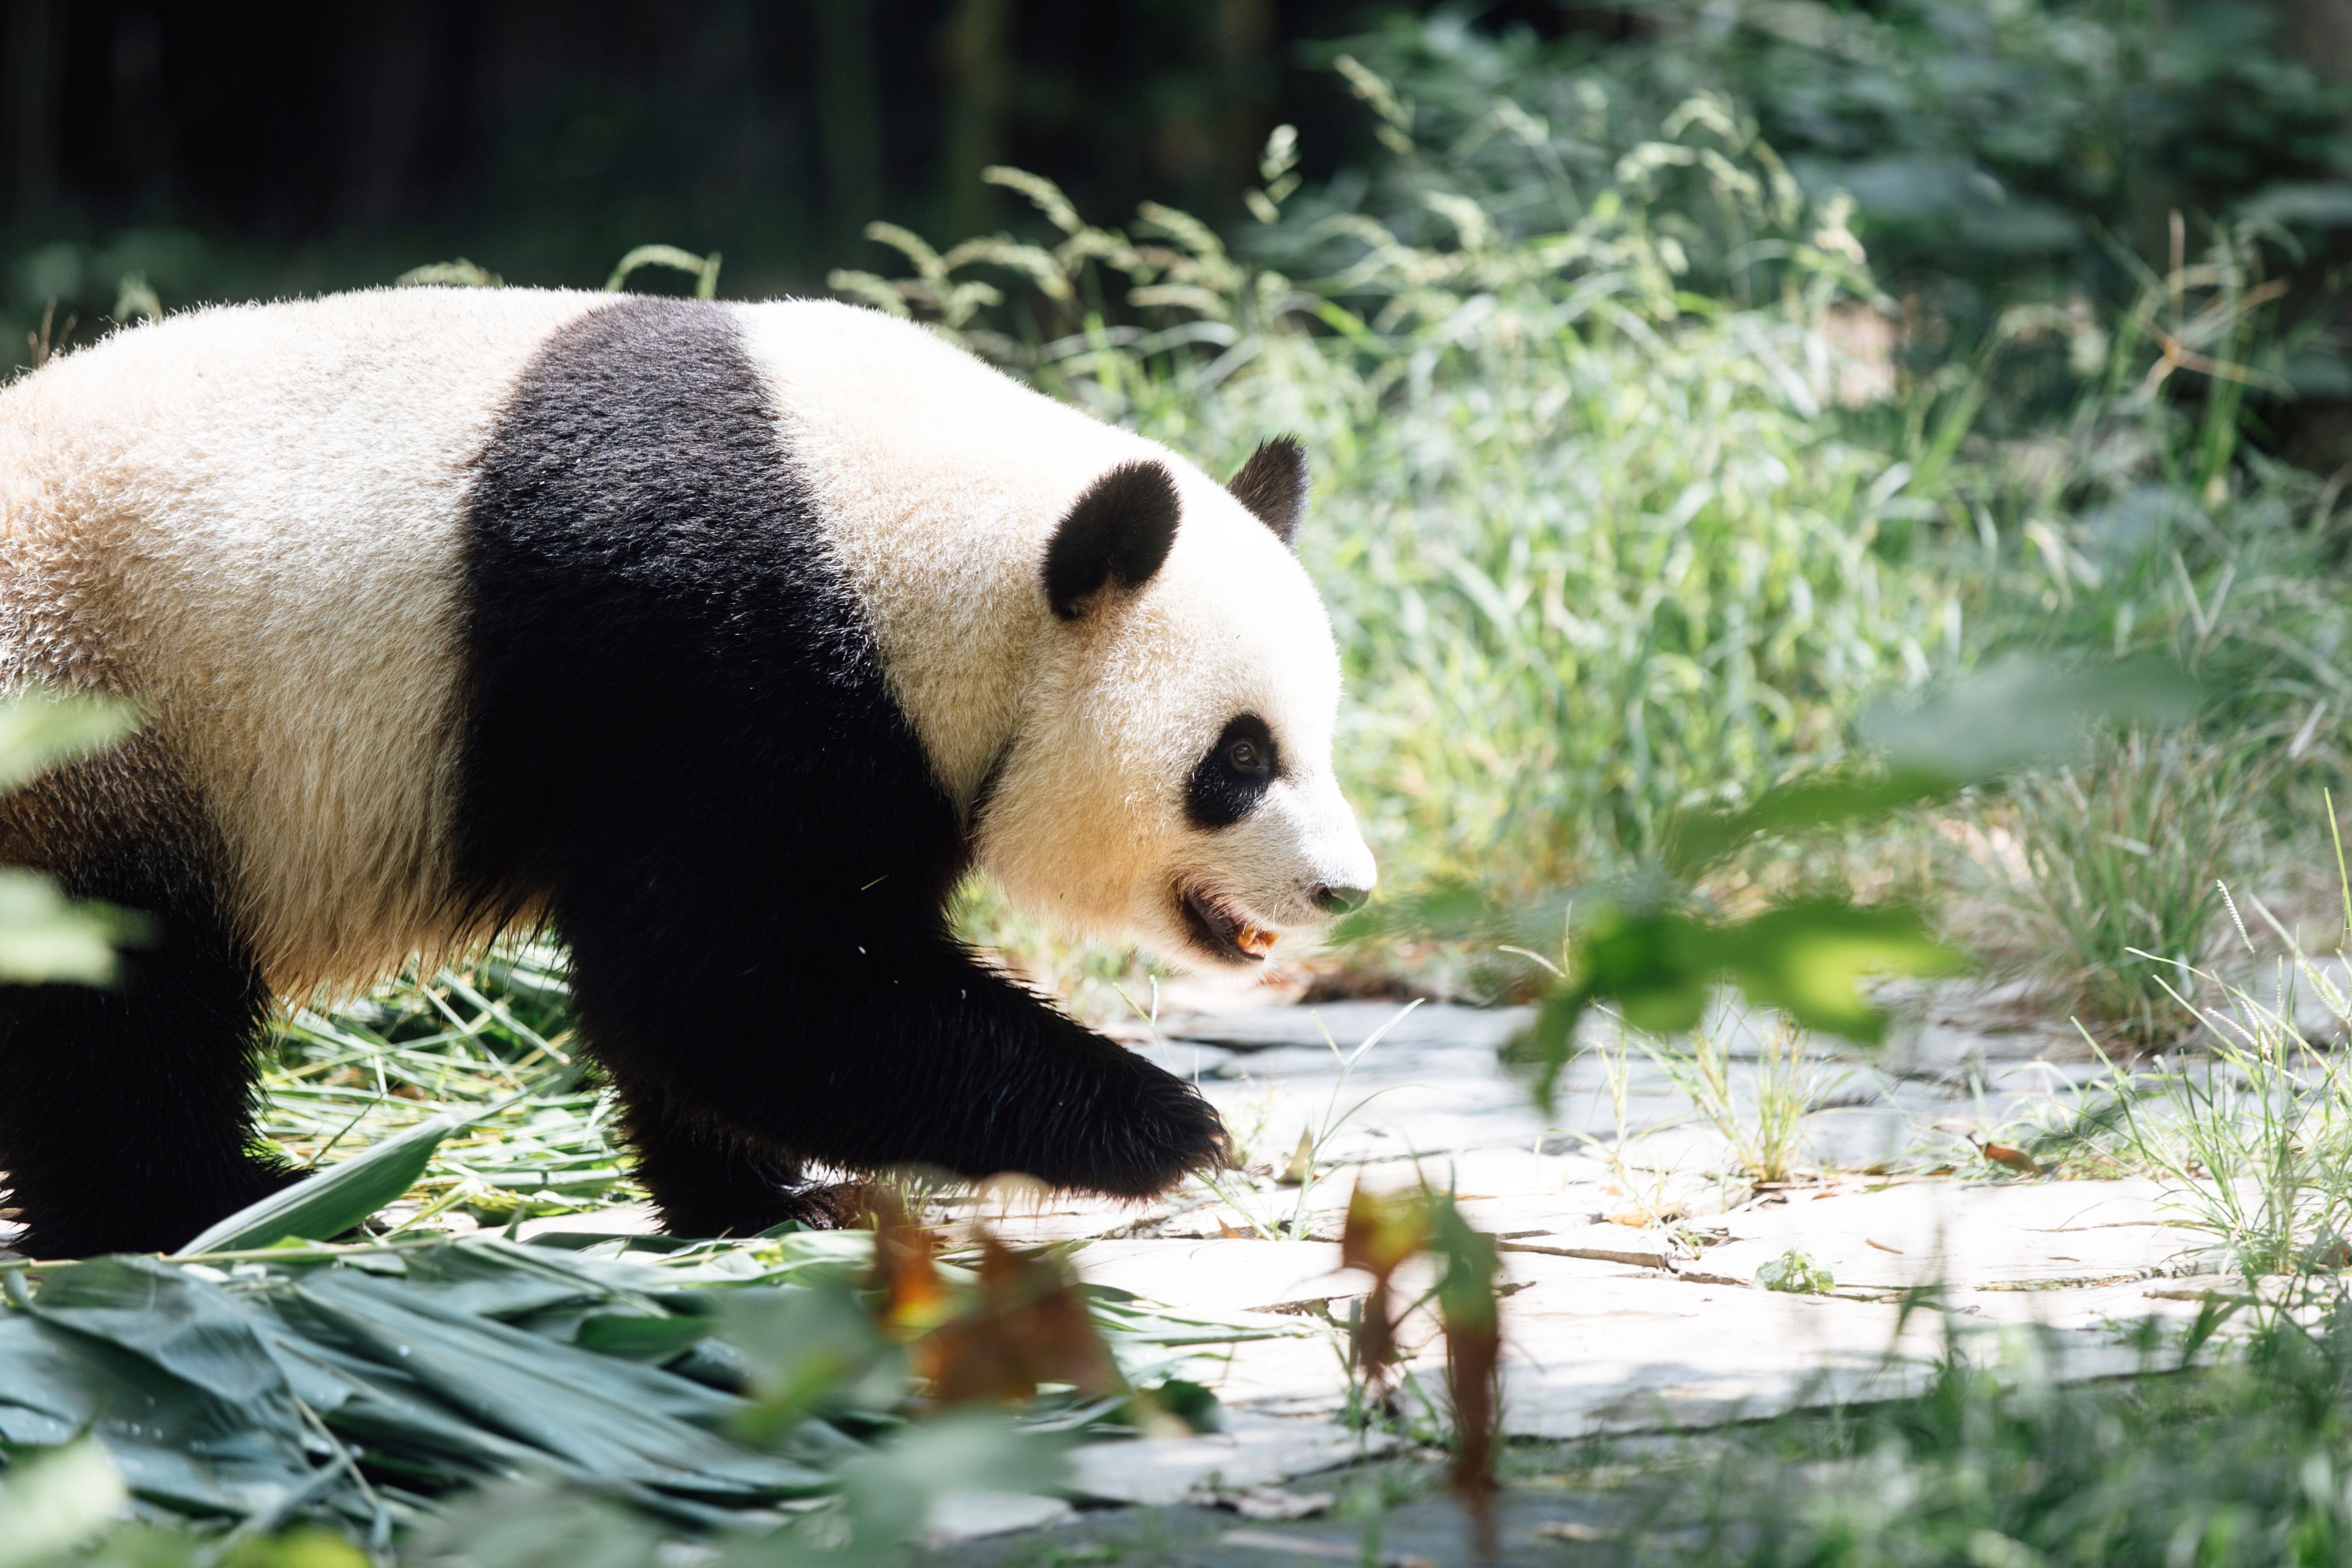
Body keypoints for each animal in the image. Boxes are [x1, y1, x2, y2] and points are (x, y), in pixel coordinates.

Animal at [0, 285, 1373, 1260]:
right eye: (1239, 758)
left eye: (1319, 733)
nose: (1344, 889)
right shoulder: (712, 642)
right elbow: (726, 980)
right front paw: (1170, 1126)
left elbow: (734, 992)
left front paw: (773, 1197)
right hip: (100, 715)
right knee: (117, 999)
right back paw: (219, 1205)